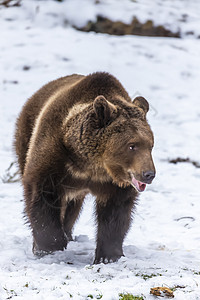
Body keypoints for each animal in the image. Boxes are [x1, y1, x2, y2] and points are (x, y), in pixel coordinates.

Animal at [14, 72, 155, 262]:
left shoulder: (113, 184)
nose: (149, 174)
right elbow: (42, 194)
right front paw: (49, 247)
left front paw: (108, 256)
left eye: (150, 145)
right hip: (26, 136)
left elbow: (115, 212)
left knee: (73, 206)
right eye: (132, 145)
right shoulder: (55, 157)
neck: (91, 165)